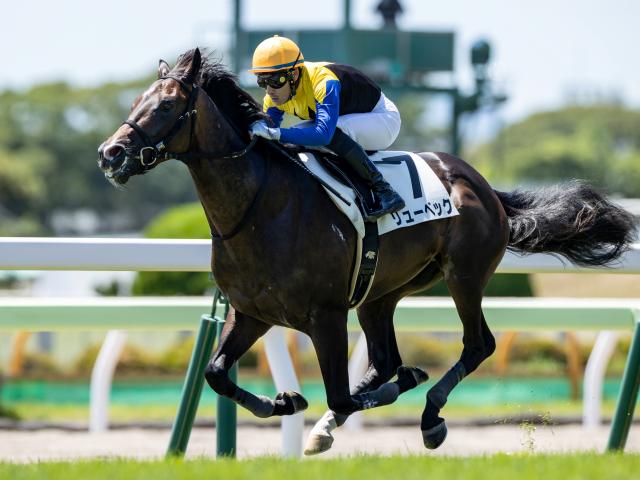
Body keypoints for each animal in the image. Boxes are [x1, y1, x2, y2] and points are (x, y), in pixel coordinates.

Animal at [98, 48, 637, 454]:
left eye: (166, 106)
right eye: (138, 100)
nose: (110, 153)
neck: (257, 208)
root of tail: (483, 186)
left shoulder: (326, 315)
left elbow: (341, 392)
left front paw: (398, 385)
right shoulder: (252, 313)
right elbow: (216, 374)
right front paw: (285, 403)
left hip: (463, 275)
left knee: (476, 344)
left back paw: (430, 414)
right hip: (383, 292)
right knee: (382, 357)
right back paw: (333, 423)